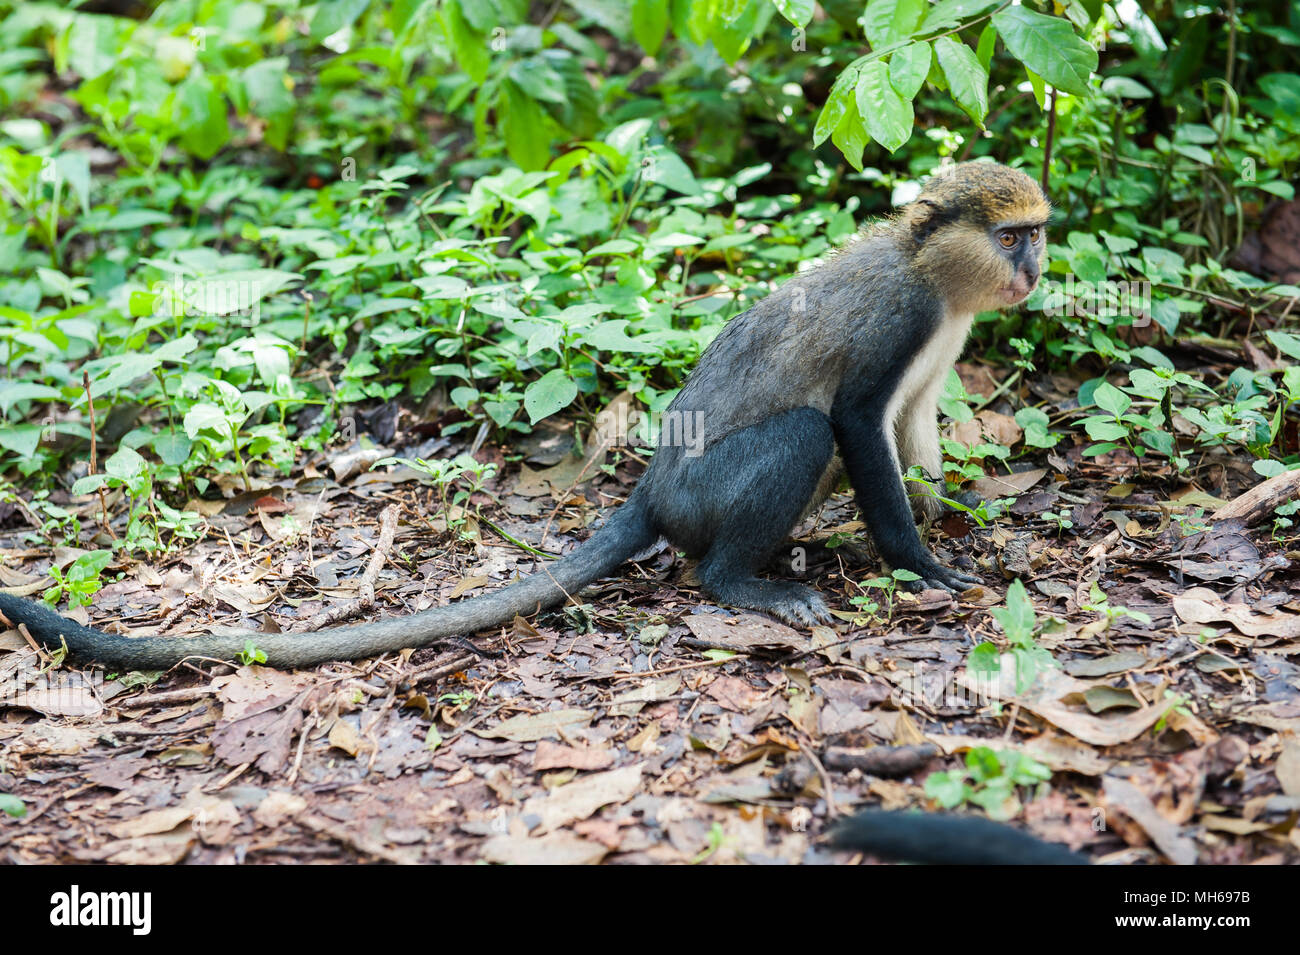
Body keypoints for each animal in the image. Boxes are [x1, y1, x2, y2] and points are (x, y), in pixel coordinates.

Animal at [0, 161, 1050, 670]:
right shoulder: (902, 322)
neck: (931, 271)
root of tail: (652, 494)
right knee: (799, 439)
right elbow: (859, 426)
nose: (1036, 269)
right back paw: (741, 582)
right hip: (711, 497)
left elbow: (910, 435)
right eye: (1012, 237)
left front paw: (967, 520)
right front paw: (924, 566)